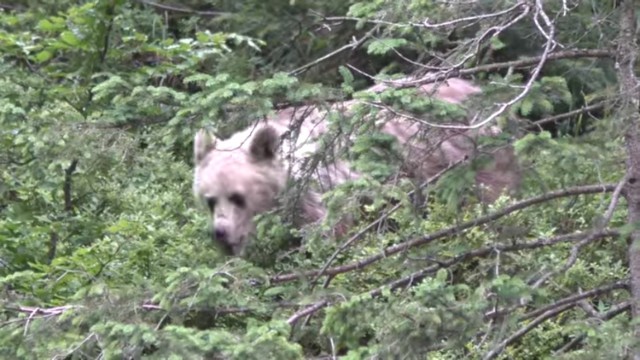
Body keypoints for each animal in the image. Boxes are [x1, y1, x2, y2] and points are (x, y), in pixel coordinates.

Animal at [191, 76, 520, 256]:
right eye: (209, 200)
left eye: (238, 196)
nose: (220, 233)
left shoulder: (323, 187)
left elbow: (326, 231)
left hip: (468, 155)